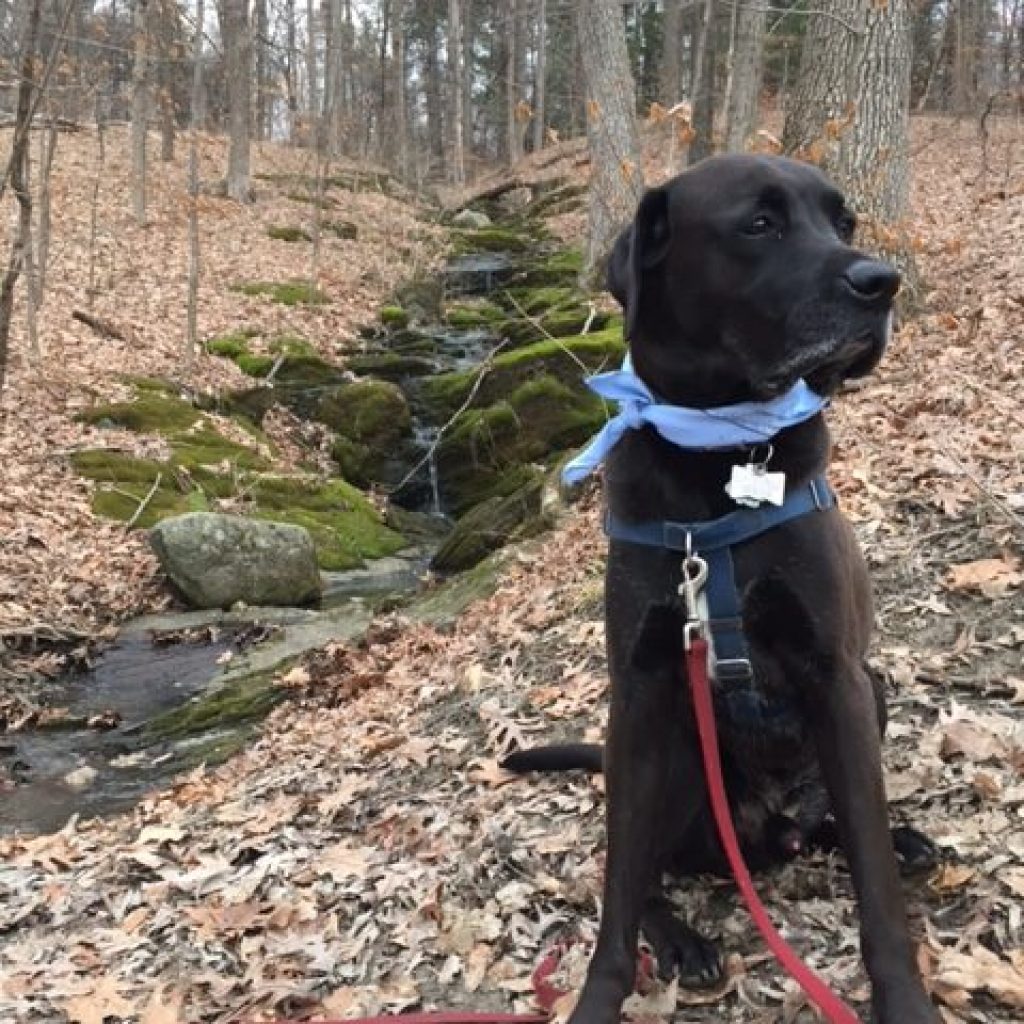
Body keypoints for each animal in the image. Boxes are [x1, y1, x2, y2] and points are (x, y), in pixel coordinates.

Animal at [501, 153, 937, 1024]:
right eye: (759, 224)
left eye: (844, 223)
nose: (884, 282)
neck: (722, 448)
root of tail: (770, 832)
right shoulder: (638, 691)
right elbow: (617, 890)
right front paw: (599, 997)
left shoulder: (838, 679)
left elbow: (873, 881)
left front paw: (903, 997)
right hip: (670, 750)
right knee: (643, 870)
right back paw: (681, 938)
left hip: (870, 694)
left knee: (844, 825)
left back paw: (898, 839)